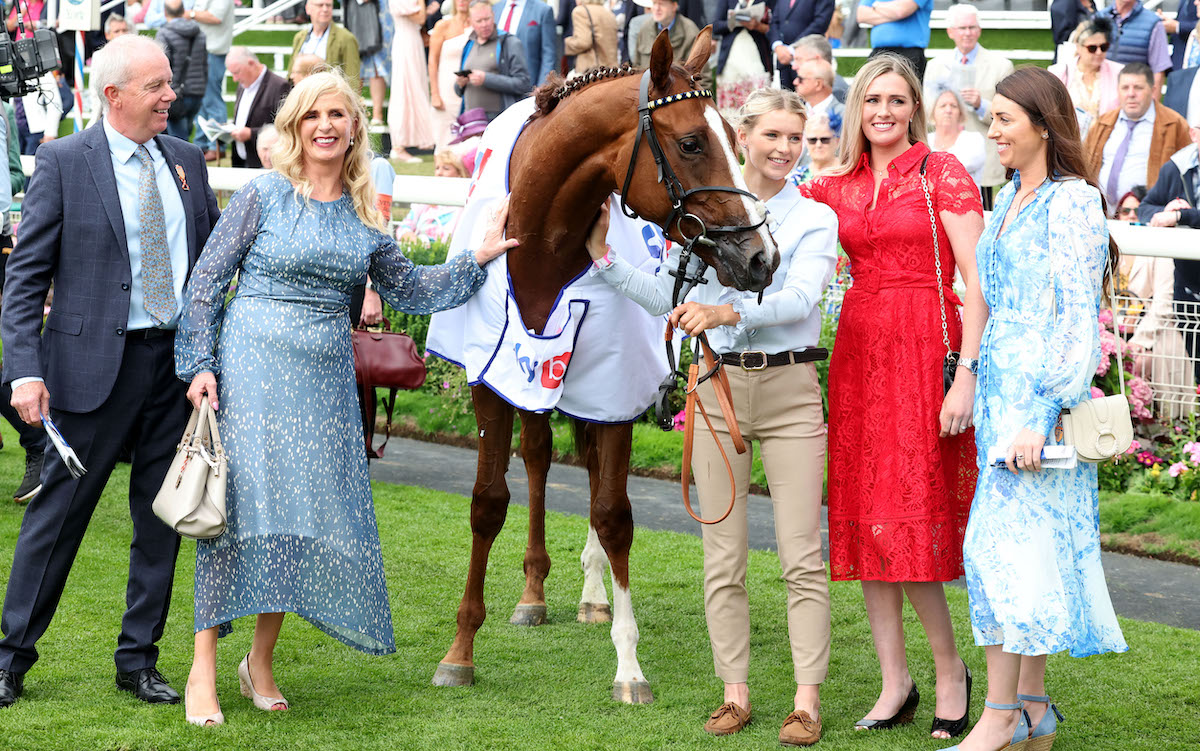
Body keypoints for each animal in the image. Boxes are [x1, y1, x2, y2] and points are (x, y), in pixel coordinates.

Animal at [434, 24, 777, 700]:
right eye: (693, 142)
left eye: (734, 137)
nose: (761, 257)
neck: (540, 242)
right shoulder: (492, 380)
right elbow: (488, 502)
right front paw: (459, 651)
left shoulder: (614, 386)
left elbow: (613, 511)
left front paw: (628, 664)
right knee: (540, 458)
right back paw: (534, 592)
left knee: (591, 472)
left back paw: (593, 594)